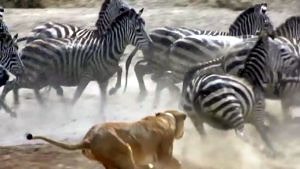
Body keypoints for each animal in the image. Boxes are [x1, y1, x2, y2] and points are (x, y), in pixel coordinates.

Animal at [1, 8, 152, 113]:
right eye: (138, 30)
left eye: (144, 26)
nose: (151, 45)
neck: (105, 48)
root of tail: (28, 45)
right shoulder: (86, 76)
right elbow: (76, 97)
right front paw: (69, 115)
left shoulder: (103, 78)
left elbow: (115, 77)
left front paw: (113, 92)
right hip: (32, 78)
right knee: (9, 85)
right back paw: (10, 110)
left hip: (38, 80)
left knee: (21, 87)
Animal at [25, 109, 186, 169]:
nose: (182, 134)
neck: (166, 117)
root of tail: (89, 139)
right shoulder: (164, 152)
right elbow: (174, 163)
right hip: (123, 152)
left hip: (110, 160)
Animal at [123, 2, 274, 98]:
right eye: (267, 23)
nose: (273, 36)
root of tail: (151, 33)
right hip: (159, 64)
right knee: (144, 71)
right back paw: (147, 94)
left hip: (158, 64)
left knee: (143, 71)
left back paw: (147, 93)